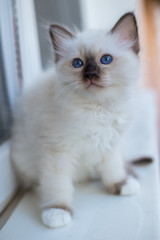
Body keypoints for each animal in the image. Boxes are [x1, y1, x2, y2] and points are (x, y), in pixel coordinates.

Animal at [10, 12, 140, 228]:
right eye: (78, 63)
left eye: (106, 59)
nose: (91, 75)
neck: (98, 109)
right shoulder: (57, 152)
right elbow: (57, 185)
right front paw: (57, 211)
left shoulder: (109, 144)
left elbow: (113, 169)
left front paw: (120, 184)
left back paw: (131, 174)